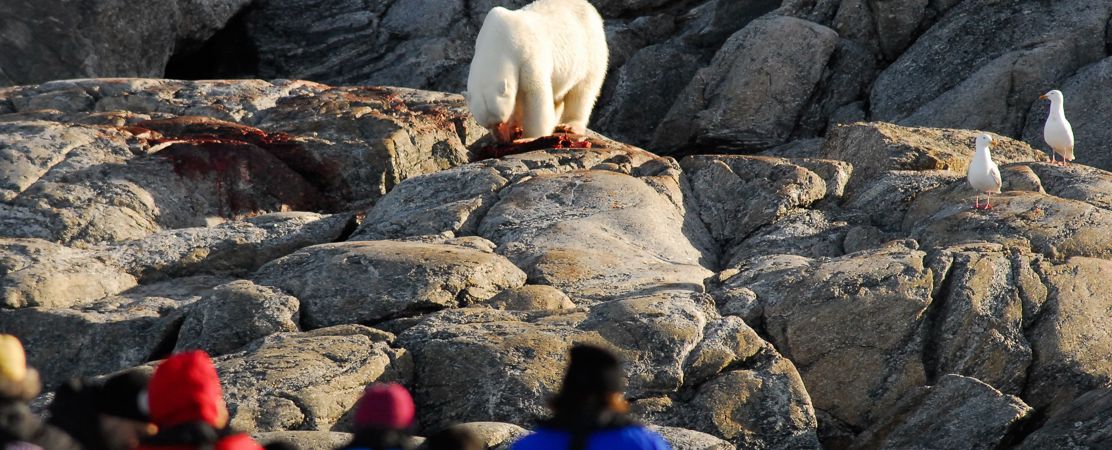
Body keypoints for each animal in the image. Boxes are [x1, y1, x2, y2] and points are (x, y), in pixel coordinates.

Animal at [465, 0, 608, 143]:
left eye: (500, 122)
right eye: (487, 126)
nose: (502, 140)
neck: (498, 39)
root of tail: (590, 7)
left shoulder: (527, 55)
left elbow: (534, 93)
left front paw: (527, 137)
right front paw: (515, 128)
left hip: (590, 51)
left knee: (582, 90)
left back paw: (570, 125)